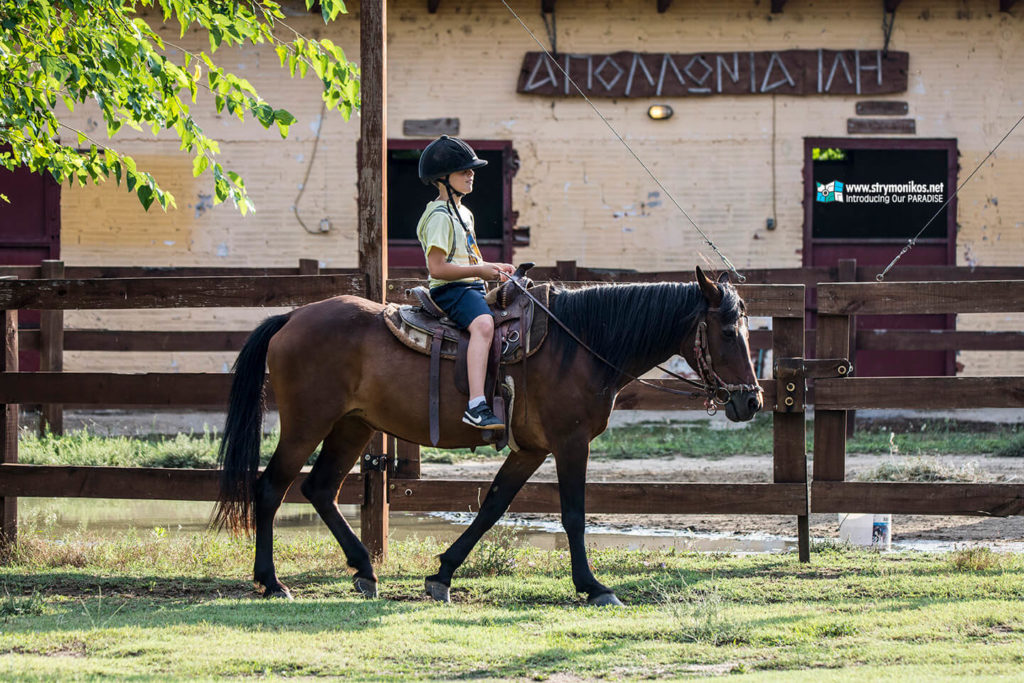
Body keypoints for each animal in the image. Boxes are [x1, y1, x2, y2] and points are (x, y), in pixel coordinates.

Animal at [216, 266, 761, 602]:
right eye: (728, 332)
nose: (752, 401)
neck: (579, 345)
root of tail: (292, 316)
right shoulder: (570, 443)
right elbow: (573, 515)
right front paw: (593, 585)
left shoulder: (532, 450)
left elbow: (493, 506)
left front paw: (441, 574)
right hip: (307, 425)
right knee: (271, 488)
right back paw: (272, 581)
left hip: (352, 426)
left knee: (320, 489)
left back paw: (363, 569)